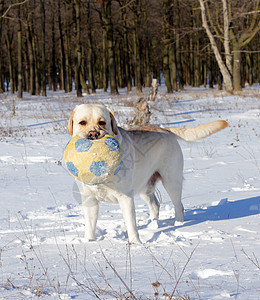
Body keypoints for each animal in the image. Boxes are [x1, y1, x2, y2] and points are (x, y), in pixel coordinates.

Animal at [67, 103, 228, 244]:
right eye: (82, 122)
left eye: (102, 122)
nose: (93, 134)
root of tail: (166, 130)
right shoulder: (89, 199)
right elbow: (90, 226)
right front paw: (89, 242)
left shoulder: (126, 197)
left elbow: (131, 224)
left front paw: (136, 244)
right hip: (144, 186)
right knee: (155, 205)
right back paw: (153, 224)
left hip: (172, 181)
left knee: (179, 206)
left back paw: (178, 225)